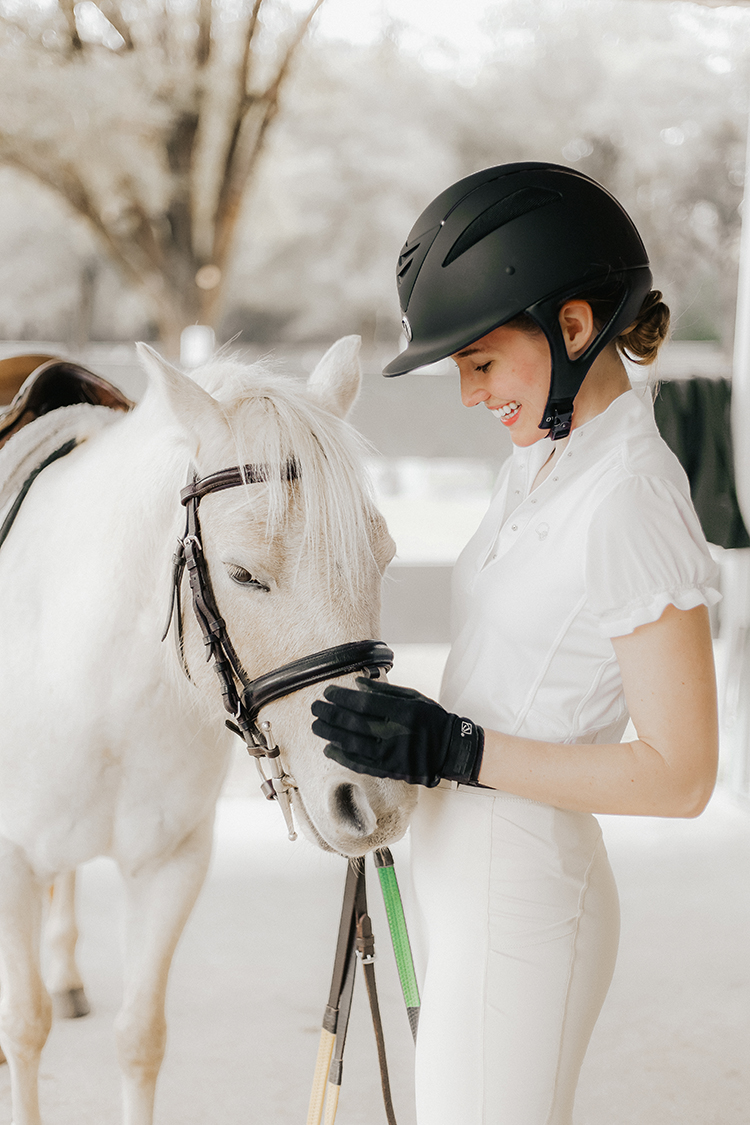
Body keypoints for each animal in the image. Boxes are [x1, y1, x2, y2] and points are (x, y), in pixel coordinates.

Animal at [0, 337, 416, 1125]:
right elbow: (23, 1028)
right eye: (243, 575)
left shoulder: (173, 864)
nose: (376, 800)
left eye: (383, 556)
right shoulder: (9, 862)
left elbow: (140, 1037)